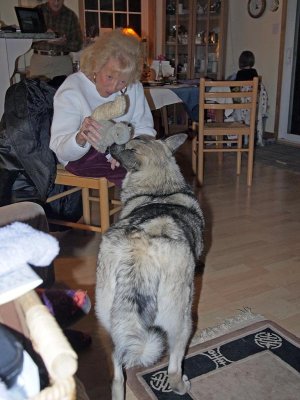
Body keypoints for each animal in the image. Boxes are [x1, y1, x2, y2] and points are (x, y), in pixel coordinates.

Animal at [95, 134, 205, 400]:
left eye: (129, 142)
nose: (111, 145)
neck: (159, 191)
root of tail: (140, 251)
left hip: (113, 321)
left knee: (117, 373)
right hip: (182, 321)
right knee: (173, 369)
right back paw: (183, 386)